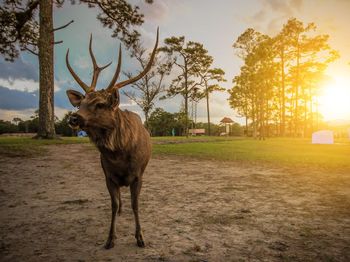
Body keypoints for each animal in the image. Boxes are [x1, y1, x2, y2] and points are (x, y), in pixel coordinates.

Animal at [65, 28, 159, 250]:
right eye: (80, 103)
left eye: (100, 104)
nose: (74, 118)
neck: (119, 157)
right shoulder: (107, 175)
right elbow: (113, 204)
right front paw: (109, 239)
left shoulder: (138, 175)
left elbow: (136, 204)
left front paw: (140, 238)